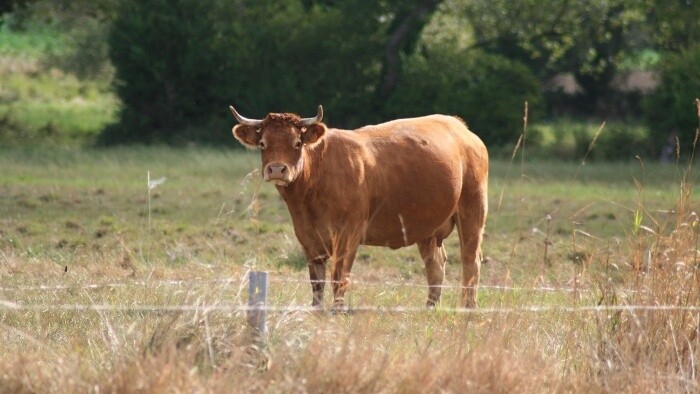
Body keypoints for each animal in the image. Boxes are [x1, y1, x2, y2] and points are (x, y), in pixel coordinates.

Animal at [230, 106, 486, 310]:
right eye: (263, 144)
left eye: (297, 143)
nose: (276, 169)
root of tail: (459, 127)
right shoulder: (308, 237)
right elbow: (317, 283)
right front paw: (316, 311)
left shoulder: (348, 232)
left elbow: (338, 276)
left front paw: (337, 311)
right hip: (427, 227)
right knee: (435, 265)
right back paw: (431, 307)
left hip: (472, 209)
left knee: (470, 261)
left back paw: (468, 309)